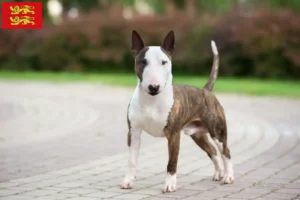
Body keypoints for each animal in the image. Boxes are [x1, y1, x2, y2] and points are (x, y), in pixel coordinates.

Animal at [120, 30, 234, 193]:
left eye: (164, 62)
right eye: (143, 62)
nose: (153, 87)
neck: (152, 100)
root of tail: (206, 90)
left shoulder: (173, 134)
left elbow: (172, 162)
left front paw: (170, 185)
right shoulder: (134, 132)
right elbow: (132, 160)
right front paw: (128, 181)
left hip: (217, 132)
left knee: (225, 152)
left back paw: (228, 177)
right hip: (198, 135)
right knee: (212, 151)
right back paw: (218, 174)